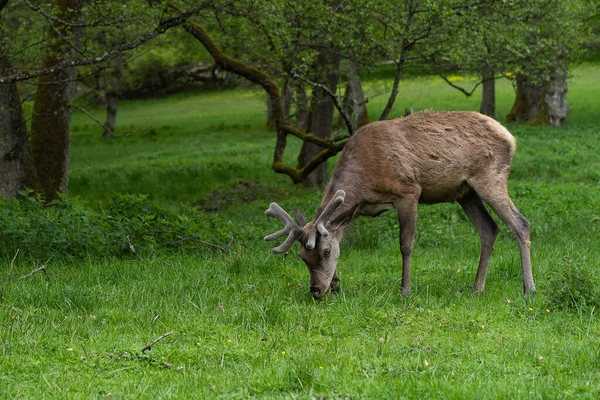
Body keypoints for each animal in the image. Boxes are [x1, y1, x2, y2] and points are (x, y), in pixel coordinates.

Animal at [264, 111, 536, 298]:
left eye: (326, 252)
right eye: (302, 257)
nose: (316, 291)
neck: (364, 184)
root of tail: (510, 137)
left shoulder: (408, 191)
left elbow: (406, 244)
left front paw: (405, 289)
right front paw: (337, 283)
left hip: (490, 177)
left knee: (521, 223)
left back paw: (528, 289)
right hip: (465, 192)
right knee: (489, 228)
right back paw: (477, 288)